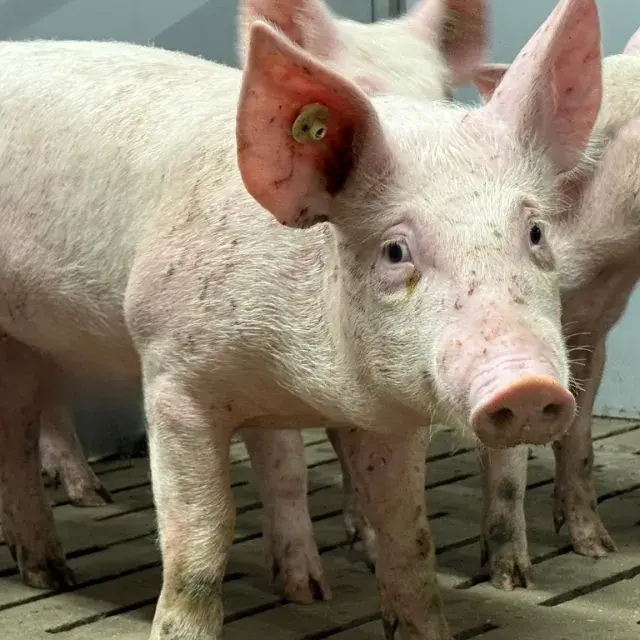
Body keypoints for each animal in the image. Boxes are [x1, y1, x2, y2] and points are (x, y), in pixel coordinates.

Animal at [467, 27, 640, 591]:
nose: (604, 548)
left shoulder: (594, 334)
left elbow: (579, 441)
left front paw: (596, 548)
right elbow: (509, 465)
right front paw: (512, 580)